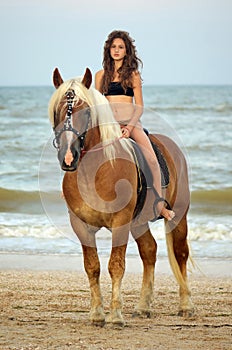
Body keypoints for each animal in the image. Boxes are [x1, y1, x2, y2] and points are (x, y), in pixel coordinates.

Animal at [48, 67, 194, 326]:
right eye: (57, 111)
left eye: (86, 112)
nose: (68, 157)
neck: (95, 170)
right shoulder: (80, 225)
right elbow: (92, 266)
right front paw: (97, 314)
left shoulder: (120, 222)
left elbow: (115, 265)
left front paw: (115, 316)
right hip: (139, 222)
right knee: (149, 251)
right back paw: (143, 307)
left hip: (178, 215)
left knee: (180, 254)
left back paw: (186, 305)